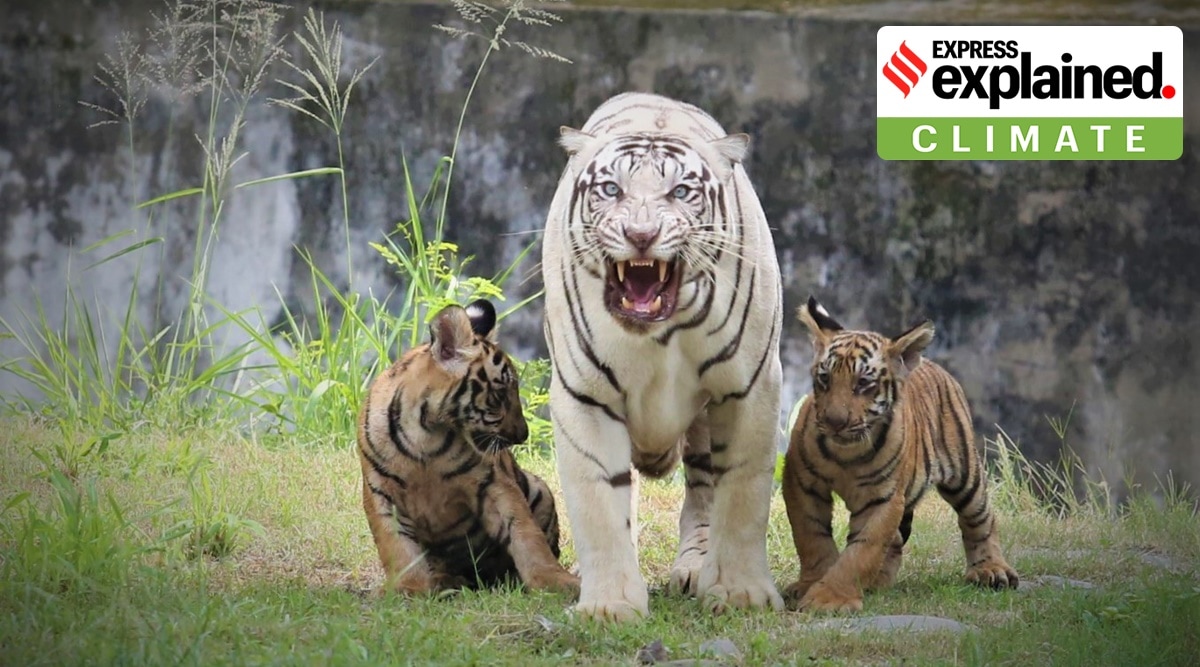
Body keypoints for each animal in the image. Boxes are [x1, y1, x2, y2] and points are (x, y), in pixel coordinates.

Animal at [544, 92, 787, 619]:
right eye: (611, 189)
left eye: (680, 192)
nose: (641, 235)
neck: (658, 333)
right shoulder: (585, 394)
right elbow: (599, 503)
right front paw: (609, 605)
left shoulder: (750, 387)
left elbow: (743, 494)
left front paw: (740, 593)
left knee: (703, 489)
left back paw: (697, 569)